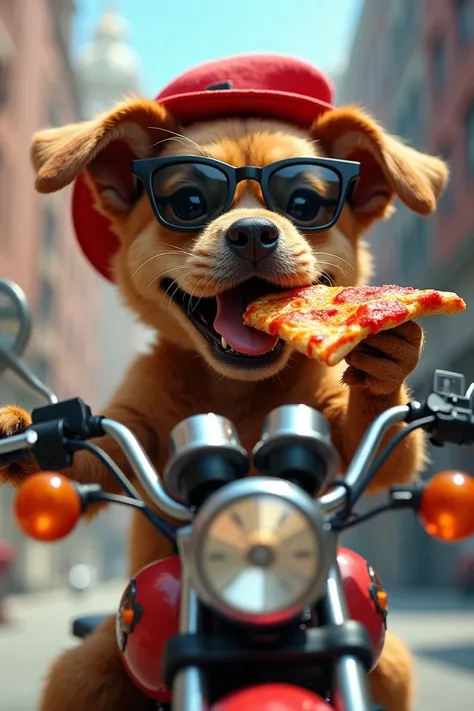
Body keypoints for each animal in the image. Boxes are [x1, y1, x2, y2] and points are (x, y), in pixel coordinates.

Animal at [0, 57, 446, 711]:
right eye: (188, 201)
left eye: (305, 202)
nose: (255, 231)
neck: (234, 389)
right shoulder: (132, 426)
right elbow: (91, 456)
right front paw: (23, 431)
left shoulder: (339, 425)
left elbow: (385, 446)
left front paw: (386, 356)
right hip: (85, 669)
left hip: (390, 666)